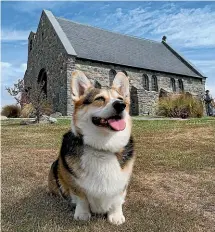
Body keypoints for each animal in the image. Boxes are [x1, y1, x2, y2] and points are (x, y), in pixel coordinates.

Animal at [48, 70, 134, 225]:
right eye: (99, 99)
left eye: (120, 99)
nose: (121, 105)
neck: (103, 146)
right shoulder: (75, 184)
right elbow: (82, 198)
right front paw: (82, 214)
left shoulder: (122, 183)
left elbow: (117, 199)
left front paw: (116, 216)